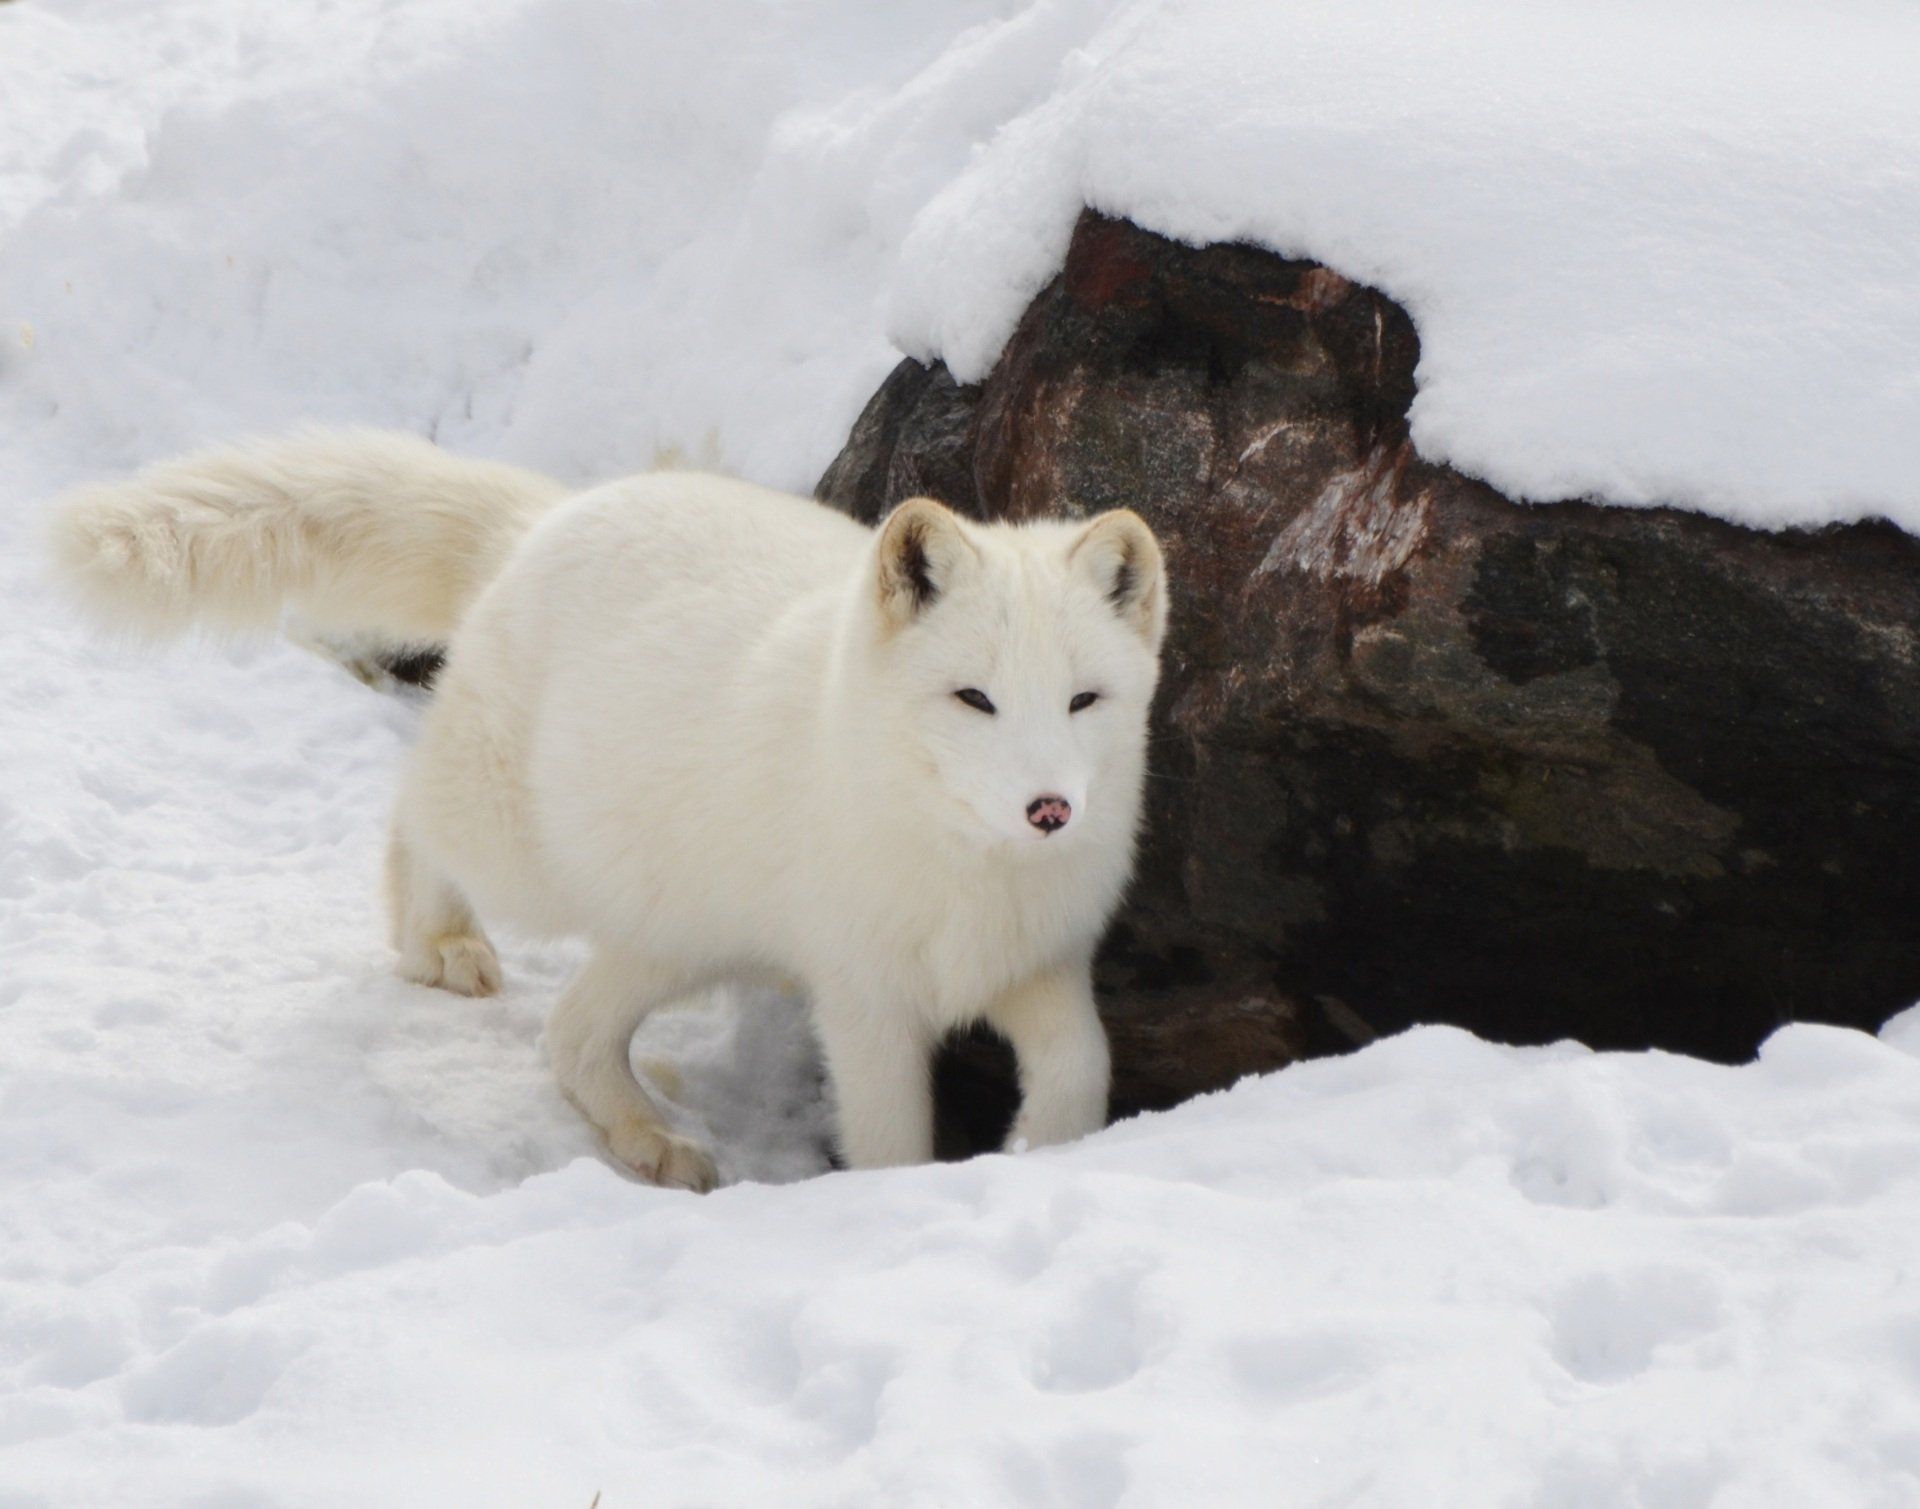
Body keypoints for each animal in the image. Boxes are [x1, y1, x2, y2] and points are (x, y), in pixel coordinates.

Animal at [48, 431, 1167, 1190]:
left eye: (1083, 700)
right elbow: (890, 1141)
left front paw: (1049, 1153)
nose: (1051, 809)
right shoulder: (865, 999)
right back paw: (437, 940)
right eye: (974, 698)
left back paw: (652, 1138)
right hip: (529, 859)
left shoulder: (1041, 964)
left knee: (573, 1036)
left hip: (678, 931)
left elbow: (1084, 1068)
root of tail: (545, 522)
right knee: (414, 813)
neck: (969, 873)